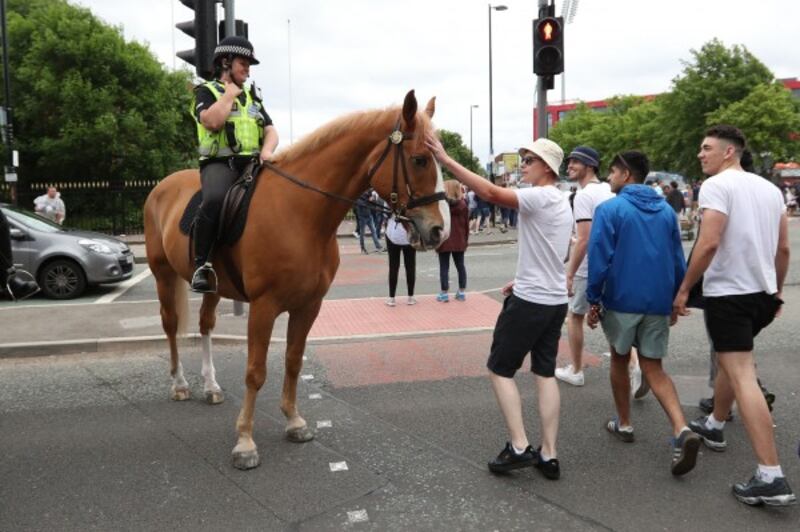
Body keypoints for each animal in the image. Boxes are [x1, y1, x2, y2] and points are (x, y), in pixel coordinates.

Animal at [145, 90, 450, 470]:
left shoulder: (308, 306)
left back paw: (211, 385)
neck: (302, 212)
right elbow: (255, 371)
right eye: (420, 159)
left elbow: (293, 360)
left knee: (205, 325)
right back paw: (179, 384)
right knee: (171, 325)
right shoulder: (263, 307)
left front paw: (293, 421)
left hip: (213, 288)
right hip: (162, 273)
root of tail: (163, 185)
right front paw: (245, 441)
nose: (439, 231)